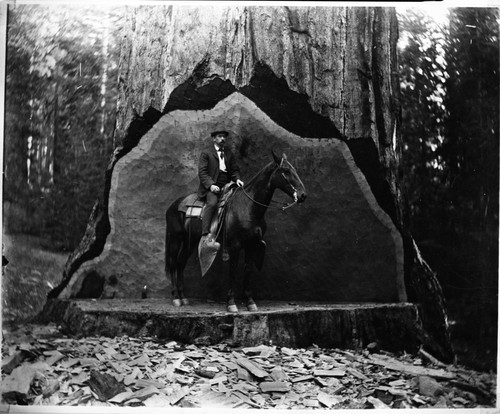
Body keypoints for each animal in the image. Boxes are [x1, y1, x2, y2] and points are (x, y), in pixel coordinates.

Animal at [165, 151, 304, 310]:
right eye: (286, 170)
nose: (302, 195)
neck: (248, 207)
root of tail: (174, 205)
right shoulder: (235, 245)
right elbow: (233, 270)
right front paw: (231, 302)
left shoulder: (252, 245)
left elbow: (247, 270)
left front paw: (250, 301)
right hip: (175, 238)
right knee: (173, 262)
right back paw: (176, 297)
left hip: (191, 240)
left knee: (181, 262)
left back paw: (183, 297)